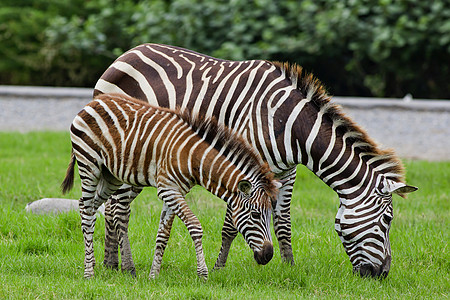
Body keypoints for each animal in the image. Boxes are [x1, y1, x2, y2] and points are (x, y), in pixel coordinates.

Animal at [59, 93, 278, 278]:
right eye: (255, 215)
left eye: (270, 214)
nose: (268, 255)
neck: (191, 157)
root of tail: (93, 101)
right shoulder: (168, 189)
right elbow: (195, 226)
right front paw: (203, 273)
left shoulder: (174, 192)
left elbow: (163, 234)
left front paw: (153, 276)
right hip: (89, 165)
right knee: (86, 208)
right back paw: (89, 272)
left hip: (110, 175)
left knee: (94, 206)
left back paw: (96, 264)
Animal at [93, 43, 416, 278]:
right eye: (388, 220)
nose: (383, 274)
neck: (289, 124)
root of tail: (127, 53)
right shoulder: (246, 167)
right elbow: (231, 223)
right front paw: (219, 268)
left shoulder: (286, 172)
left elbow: (283, 221)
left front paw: (288, 267)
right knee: (118, 208)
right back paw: (124, 267)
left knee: (111, 206)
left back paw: (110, 263)